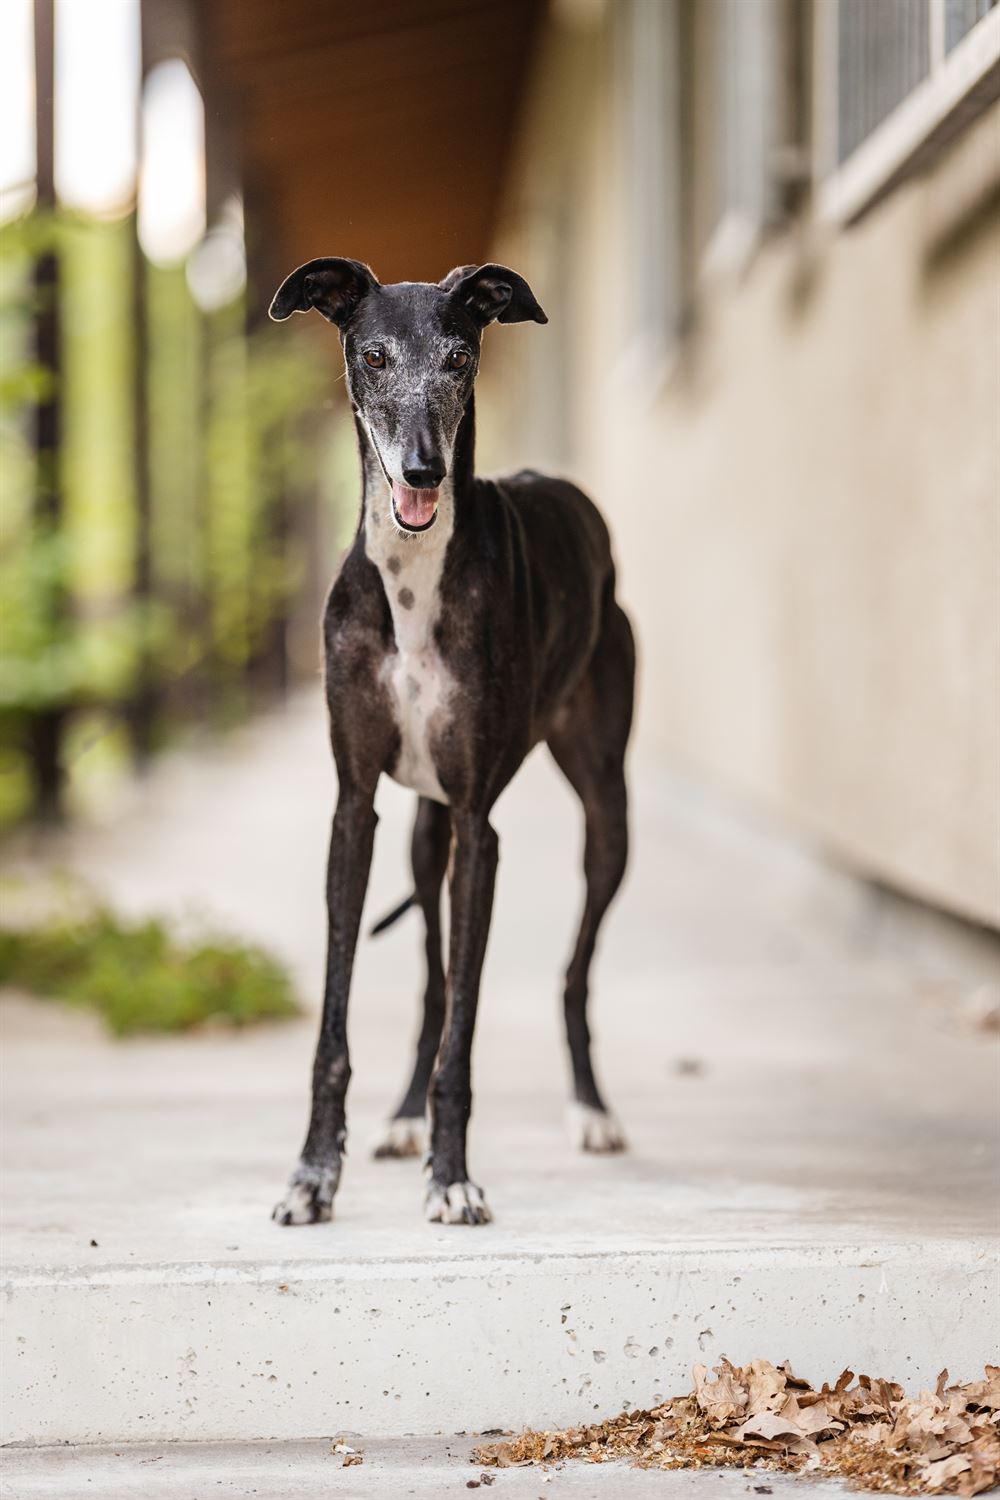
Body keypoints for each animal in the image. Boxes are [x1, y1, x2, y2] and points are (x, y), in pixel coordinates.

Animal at [269, 255, 638, 1218]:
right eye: (373, 355)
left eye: (460, 359)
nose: (423, 471)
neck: (411, 580)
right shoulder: (356, 809)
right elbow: (342, 1020)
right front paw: (314, 1175)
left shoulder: (480, 827)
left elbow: (464, 1035)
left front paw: (453, 1176)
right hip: (423, 831)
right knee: (432, 978)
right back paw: (400, 1118)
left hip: (604, 811)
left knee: (574, 970)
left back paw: (592, 1110)